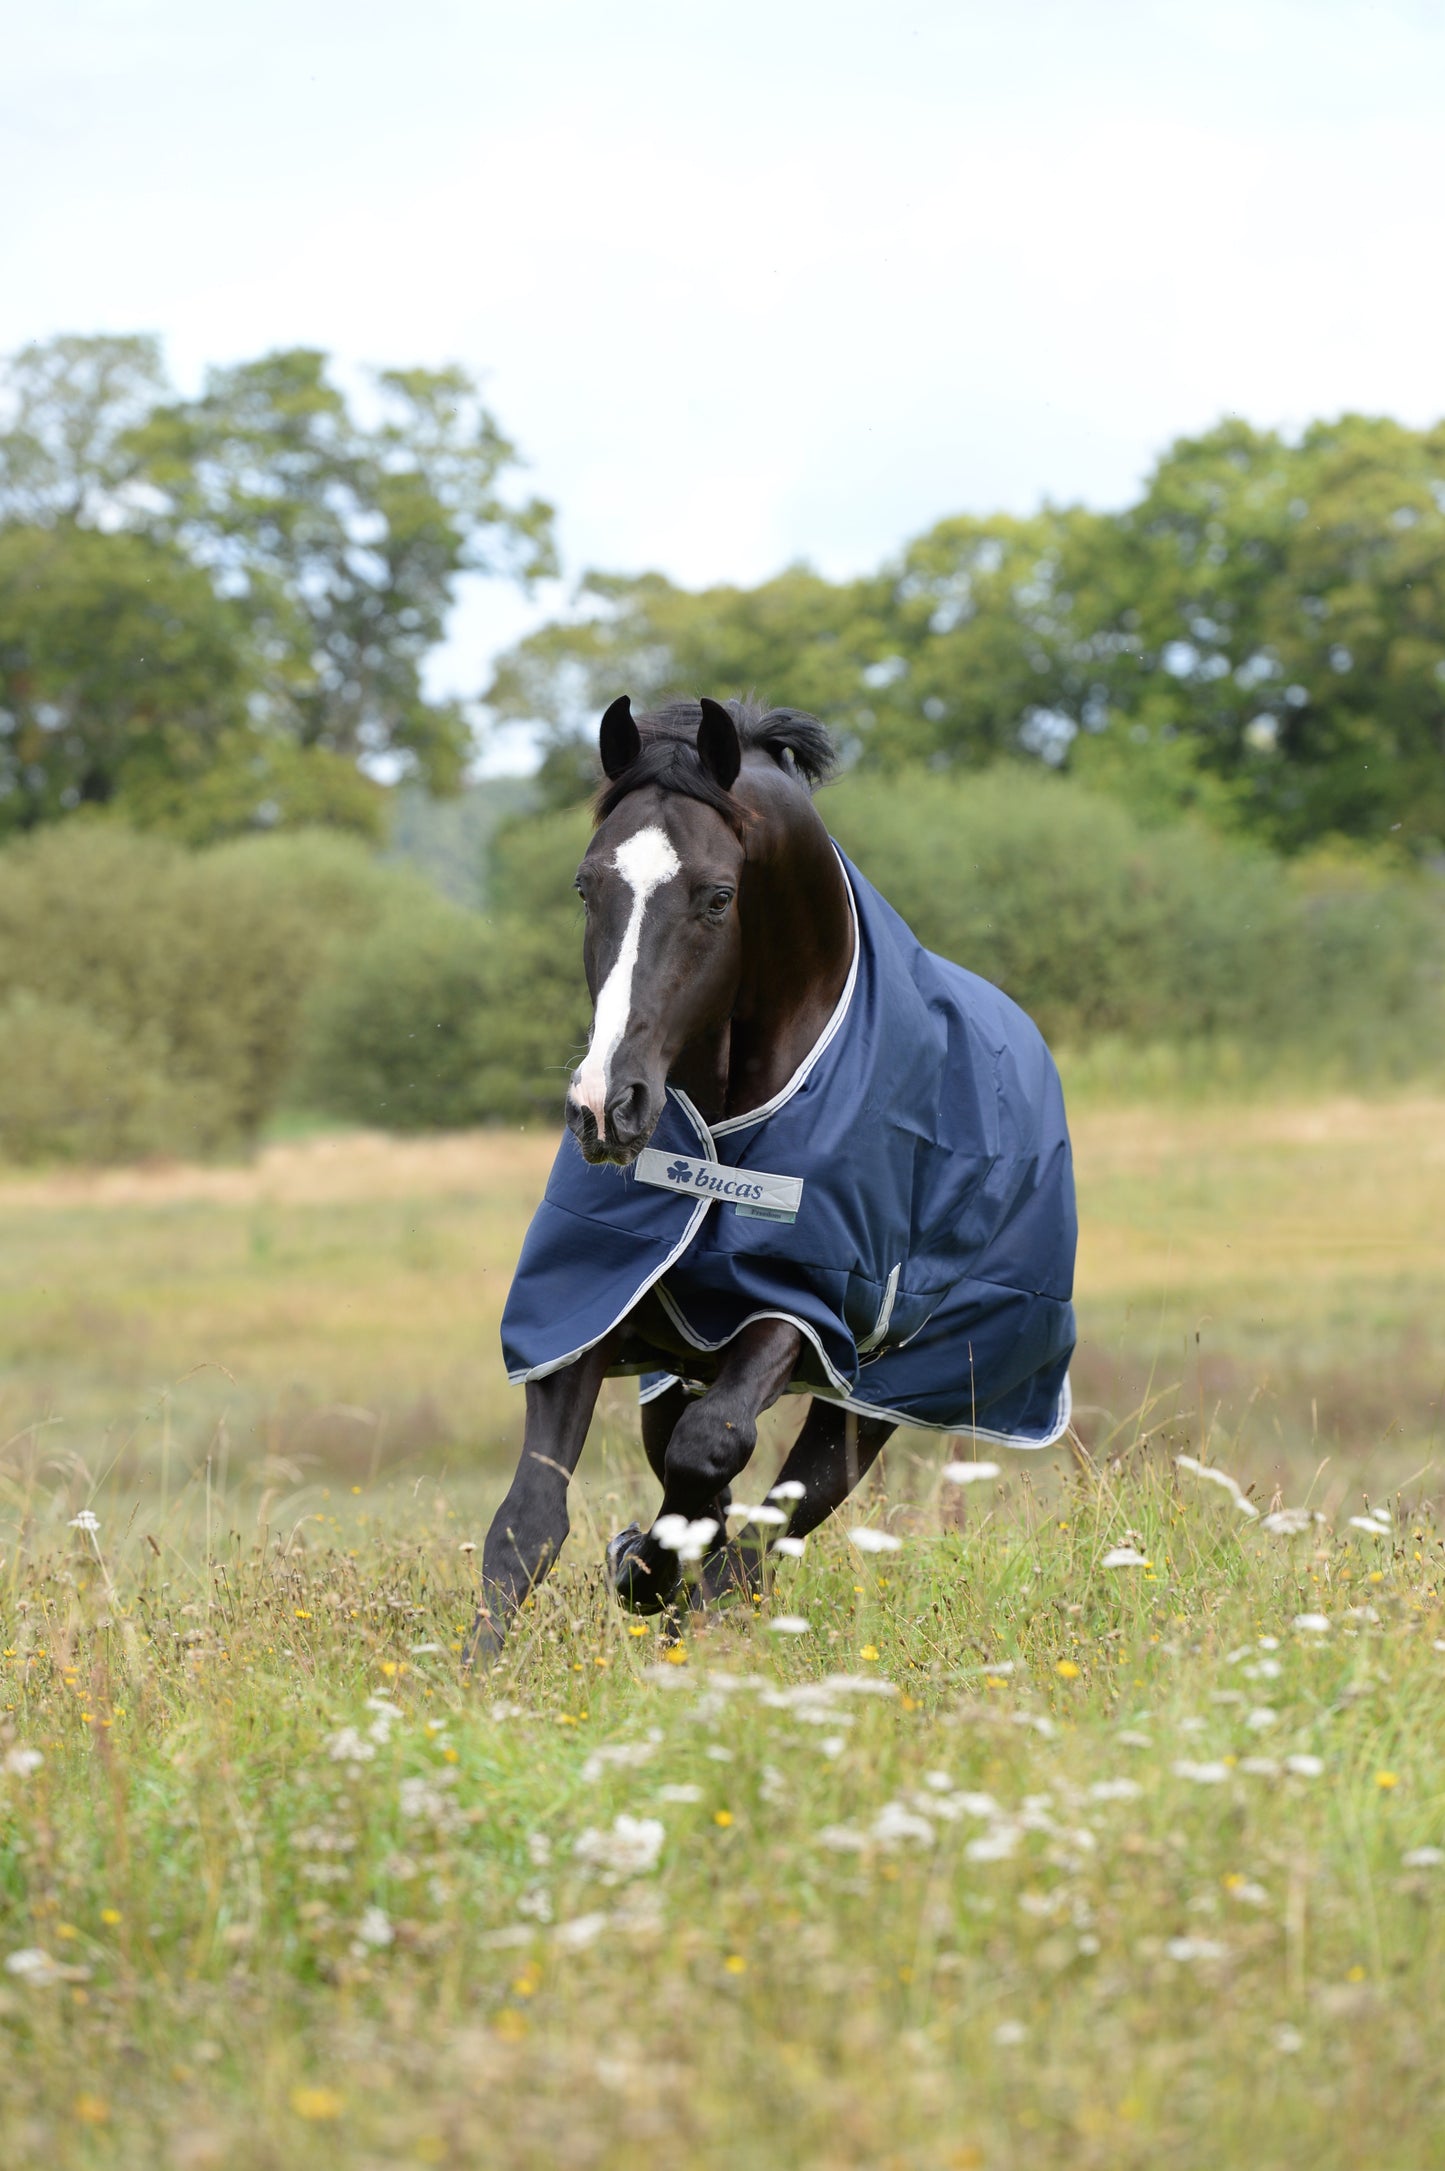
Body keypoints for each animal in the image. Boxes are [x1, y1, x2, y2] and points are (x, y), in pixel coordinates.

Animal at [468, 695, 1077, 1659]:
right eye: (586, 886)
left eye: (717, 896)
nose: (606, 1106)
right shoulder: (590, 1297)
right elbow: (530, 1518)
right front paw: (474, 1668)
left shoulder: (802, 1300)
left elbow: (712, 1449)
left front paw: (649, 1568)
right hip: (679, 1362)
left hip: (879, 1393)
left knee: (784, 1512)